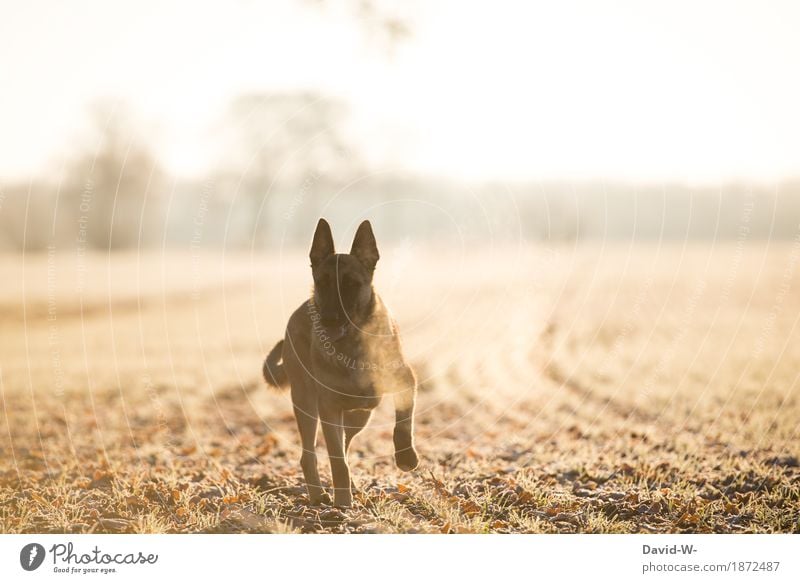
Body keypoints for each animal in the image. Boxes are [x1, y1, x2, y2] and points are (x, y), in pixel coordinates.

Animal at [266, 219, 422, 506]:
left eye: (351, 284)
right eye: (322, 283)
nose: (329, 320)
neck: (354, 345)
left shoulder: (406, 381)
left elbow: (403, 423)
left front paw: (406, 456)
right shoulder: (329, 408)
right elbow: (337, 460)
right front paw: (342, 503)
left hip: (359, 415)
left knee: (345, 444)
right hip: (307, 405)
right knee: (311, 455)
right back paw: (319, 494)